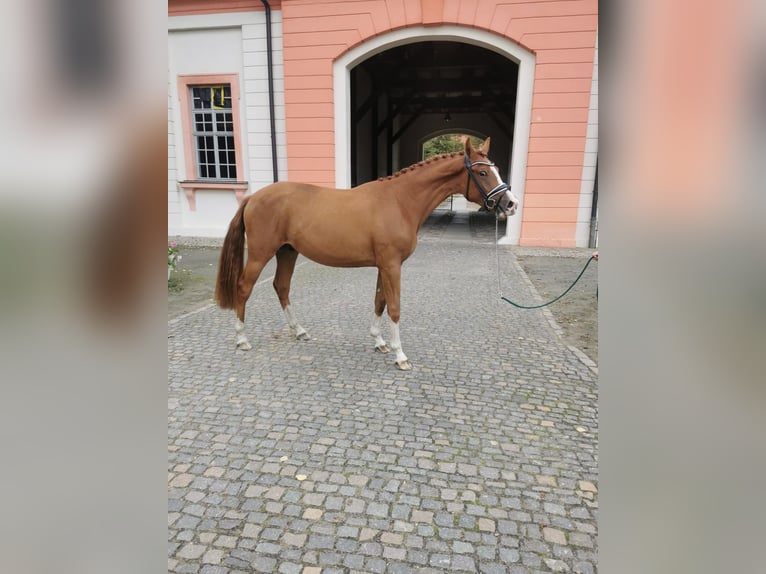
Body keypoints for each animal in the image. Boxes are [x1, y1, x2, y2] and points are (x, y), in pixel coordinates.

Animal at [214, 137, 518, 370]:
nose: (511, 203)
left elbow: (380, 301)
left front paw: (380, 342)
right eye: (482, 173)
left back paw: (299, 331)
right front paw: (400, 355)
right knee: (244, 287)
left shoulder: (384, 265)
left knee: (282, 286)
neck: (400, 201)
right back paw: (242, 339)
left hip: (287, 252)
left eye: (496, 169)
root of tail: (253, 197)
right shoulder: (392, 265)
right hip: (261, 253)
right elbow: (394, 307)